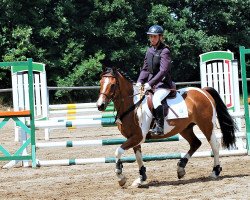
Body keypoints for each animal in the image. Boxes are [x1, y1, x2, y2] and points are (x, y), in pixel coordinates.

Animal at [96, 67, 236, 188]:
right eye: (101, 83)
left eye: (112, 85)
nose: (100, 105)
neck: (133, 105)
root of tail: (203, 91)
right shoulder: (133, 138)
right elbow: (138, 157)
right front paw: (141, 179)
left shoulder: (138, 137)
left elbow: (118, 151)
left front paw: (120, 176)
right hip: (185, 128)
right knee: (196, 143)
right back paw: (181, 168)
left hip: (206, 125)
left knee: (214, 145)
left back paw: (215, 171)